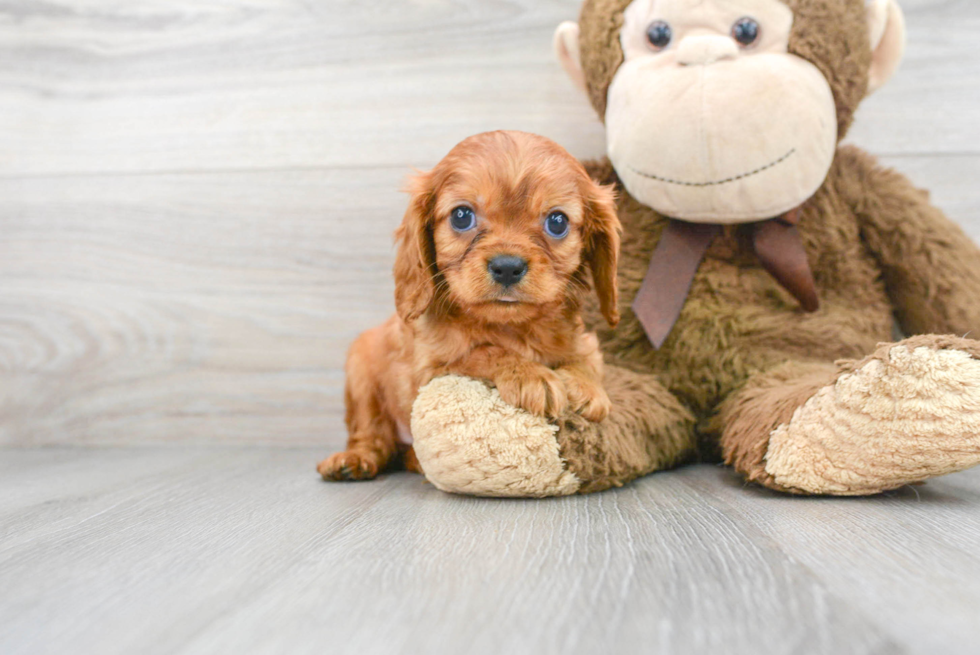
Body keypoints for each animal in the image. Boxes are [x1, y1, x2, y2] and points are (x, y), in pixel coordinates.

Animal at [318, 129, 620, 482]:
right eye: (462, 216)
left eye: (557, 221)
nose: (507, 266)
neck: (512, 327)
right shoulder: (430, 371)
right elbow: (483, 351)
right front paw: (530, 375)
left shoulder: (586, 344)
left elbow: (584, 360)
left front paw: (587, 387)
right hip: (361, 368)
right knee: (372, 436)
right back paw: (353, 460)